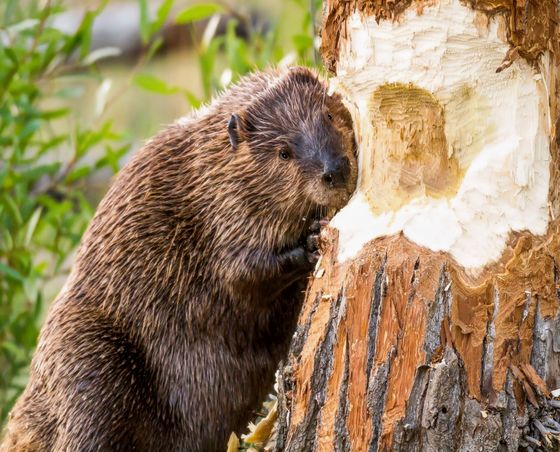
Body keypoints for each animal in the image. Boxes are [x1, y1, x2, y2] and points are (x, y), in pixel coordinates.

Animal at [1, 65, 354, 450]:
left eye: (329, 114)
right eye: (284, 152)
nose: (335, 171)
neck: (212, 166)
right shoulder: (221, 214)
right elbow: (242, 274)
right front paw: (312, 239)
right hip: (88, 359)